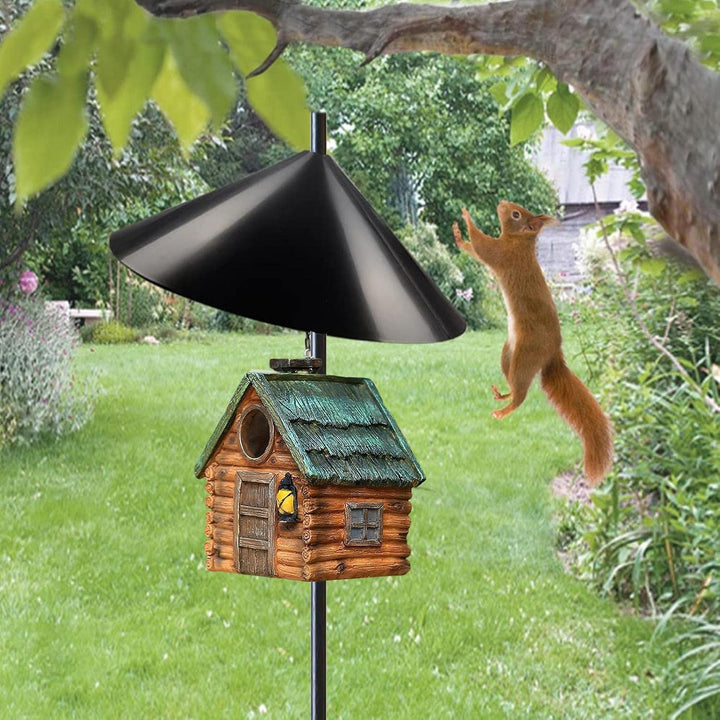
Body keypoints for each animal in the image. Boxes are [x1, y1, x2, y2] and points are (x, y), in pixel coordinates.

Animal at [452, 200, 613, 486]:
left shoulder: (503, 253)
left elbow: (482, 246)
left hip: (526, 356)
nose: (501, 203)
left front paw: (466, 217)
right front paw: (459, 235)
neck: (519, 241)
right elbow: (473, 249)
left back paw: (503, 411)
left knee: (521, 395)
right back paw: (501, 394)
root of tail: (554, 353)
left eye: (516, 214)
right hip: (508, 354)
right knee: (514, 386)